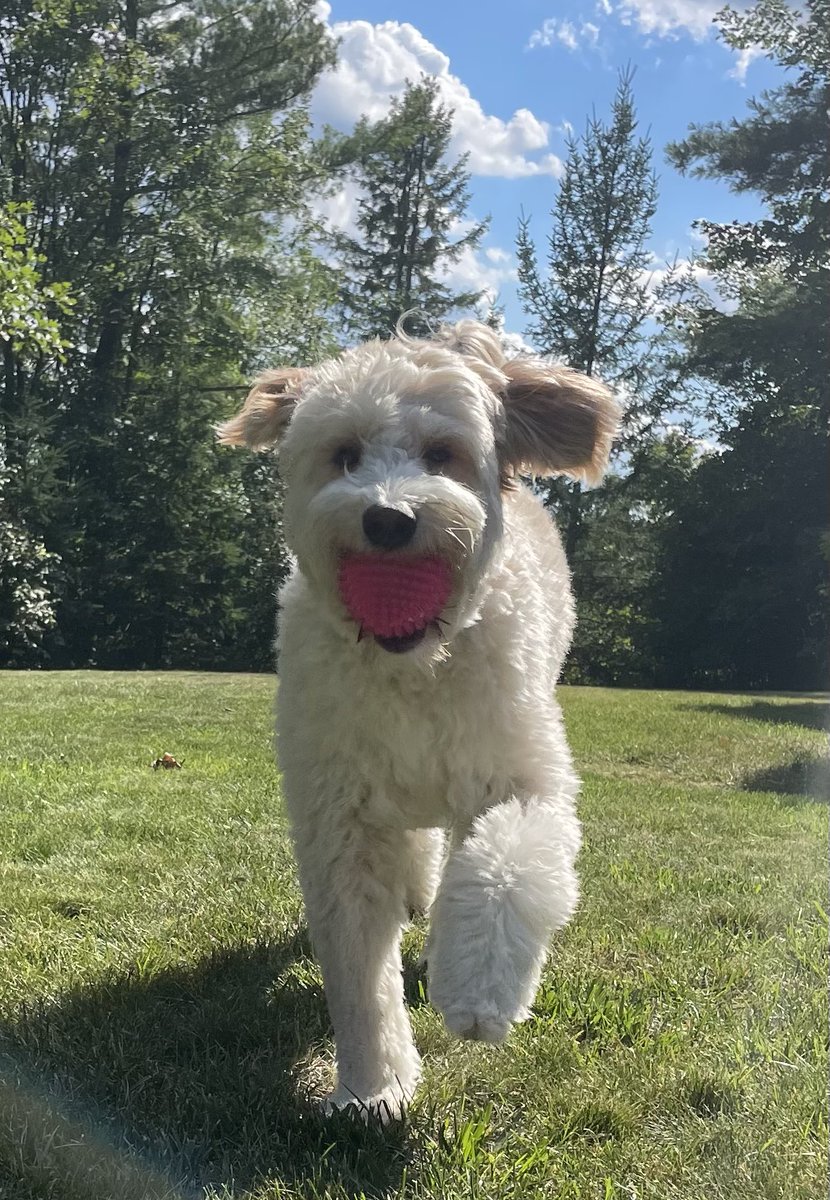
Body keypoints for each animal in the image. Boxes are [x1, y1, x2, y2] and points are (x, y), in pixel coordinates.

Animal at [217, 321, 618, 1123]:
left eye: (442, 454)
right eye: (345, 454)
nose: (387, 516)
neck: (414, 667)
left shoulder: (522, 775)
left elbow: (503, 867)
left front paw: (479, 992)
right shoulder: (340, 817)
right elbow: (359, 968)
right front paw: (372, 1086)